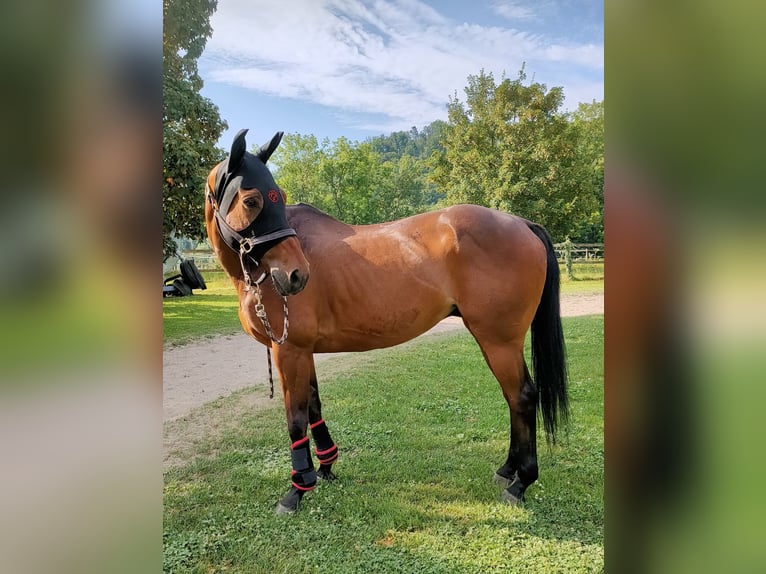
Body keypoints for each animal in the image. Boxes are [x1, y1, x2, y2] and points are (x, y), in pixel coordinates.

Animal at [206, 132, 568, 516]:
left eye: (278, 197)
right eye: (252, 199)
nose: (296, 275)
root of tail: (521, 223)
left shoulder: (289, 351)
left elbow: (296, 419)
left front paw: (297, 489)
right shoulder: (303, 352)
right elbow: (315, 407)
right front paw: (326, 467)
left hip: (500, 342)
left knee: (522, 397)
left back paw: (521, 482)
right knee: (512, 397)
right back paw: (507, 470)